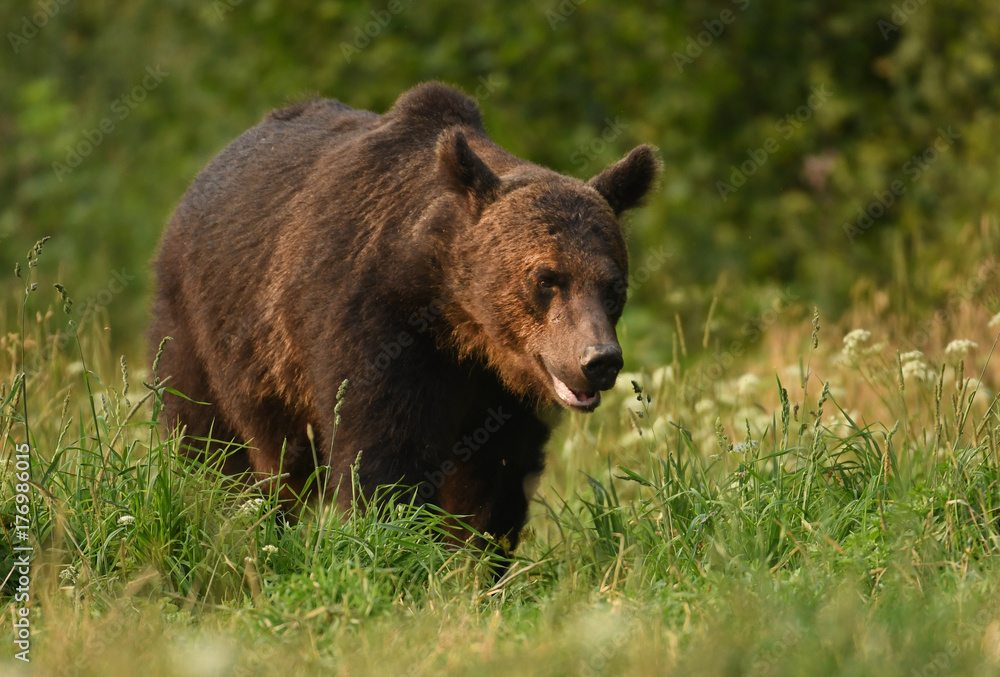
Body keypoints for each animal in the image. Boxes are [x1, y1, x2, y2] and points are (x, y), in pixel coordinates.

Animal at [148, 82, 660, 552]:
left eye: (614, 286)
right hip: (204, 325)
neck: (459, 319)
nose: (599, 360)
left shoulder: (499, 392)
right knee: (212, 445)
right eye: (547, 279)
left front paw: (473, 559)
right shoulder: (372, 323)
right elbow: (385, 453)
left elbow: (495, 477)